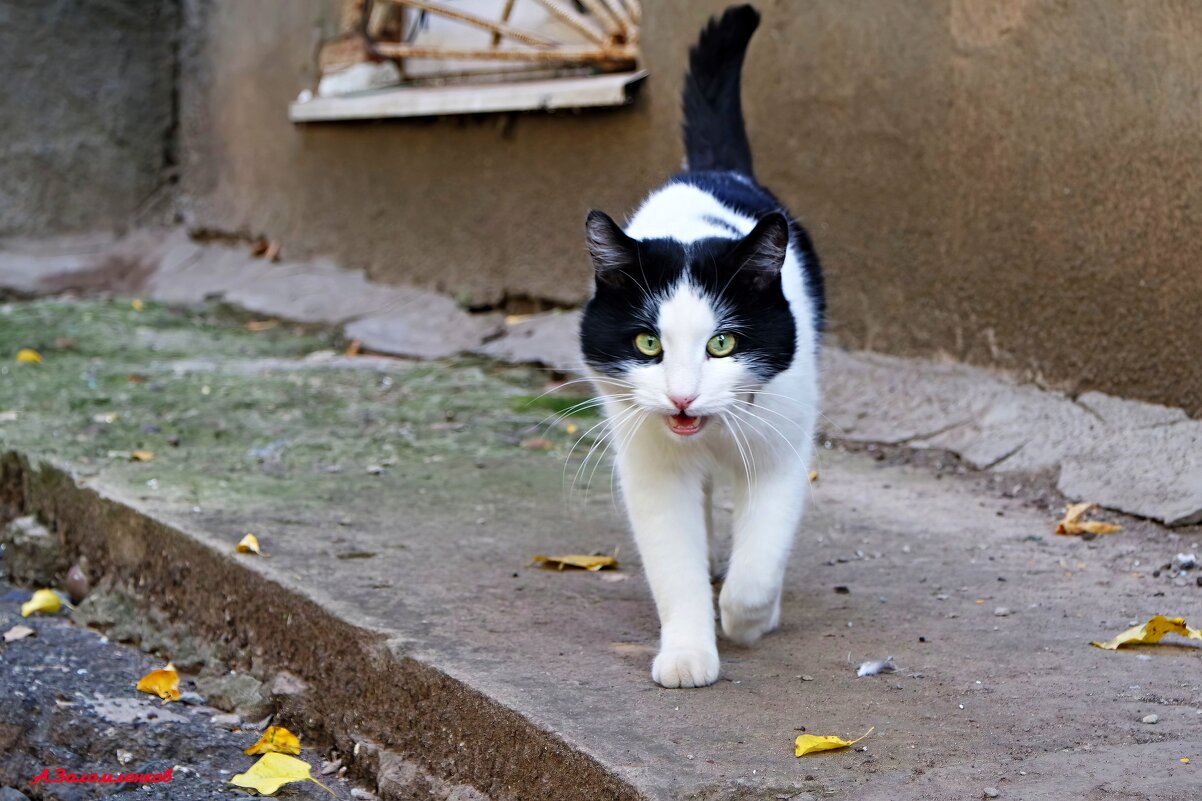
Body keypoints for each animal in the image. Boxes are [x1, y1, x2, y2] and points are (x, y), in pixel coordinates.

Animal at [574, 3, 822, 687]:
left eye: (722, 343)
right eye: (646, 343)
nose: (683, 399)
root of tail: (712, 170)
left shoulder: (782, 447)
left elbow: (760, 561)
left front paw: (747, 619)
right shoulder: (652, 468)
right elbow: (674, 566)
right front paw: (688, 652)